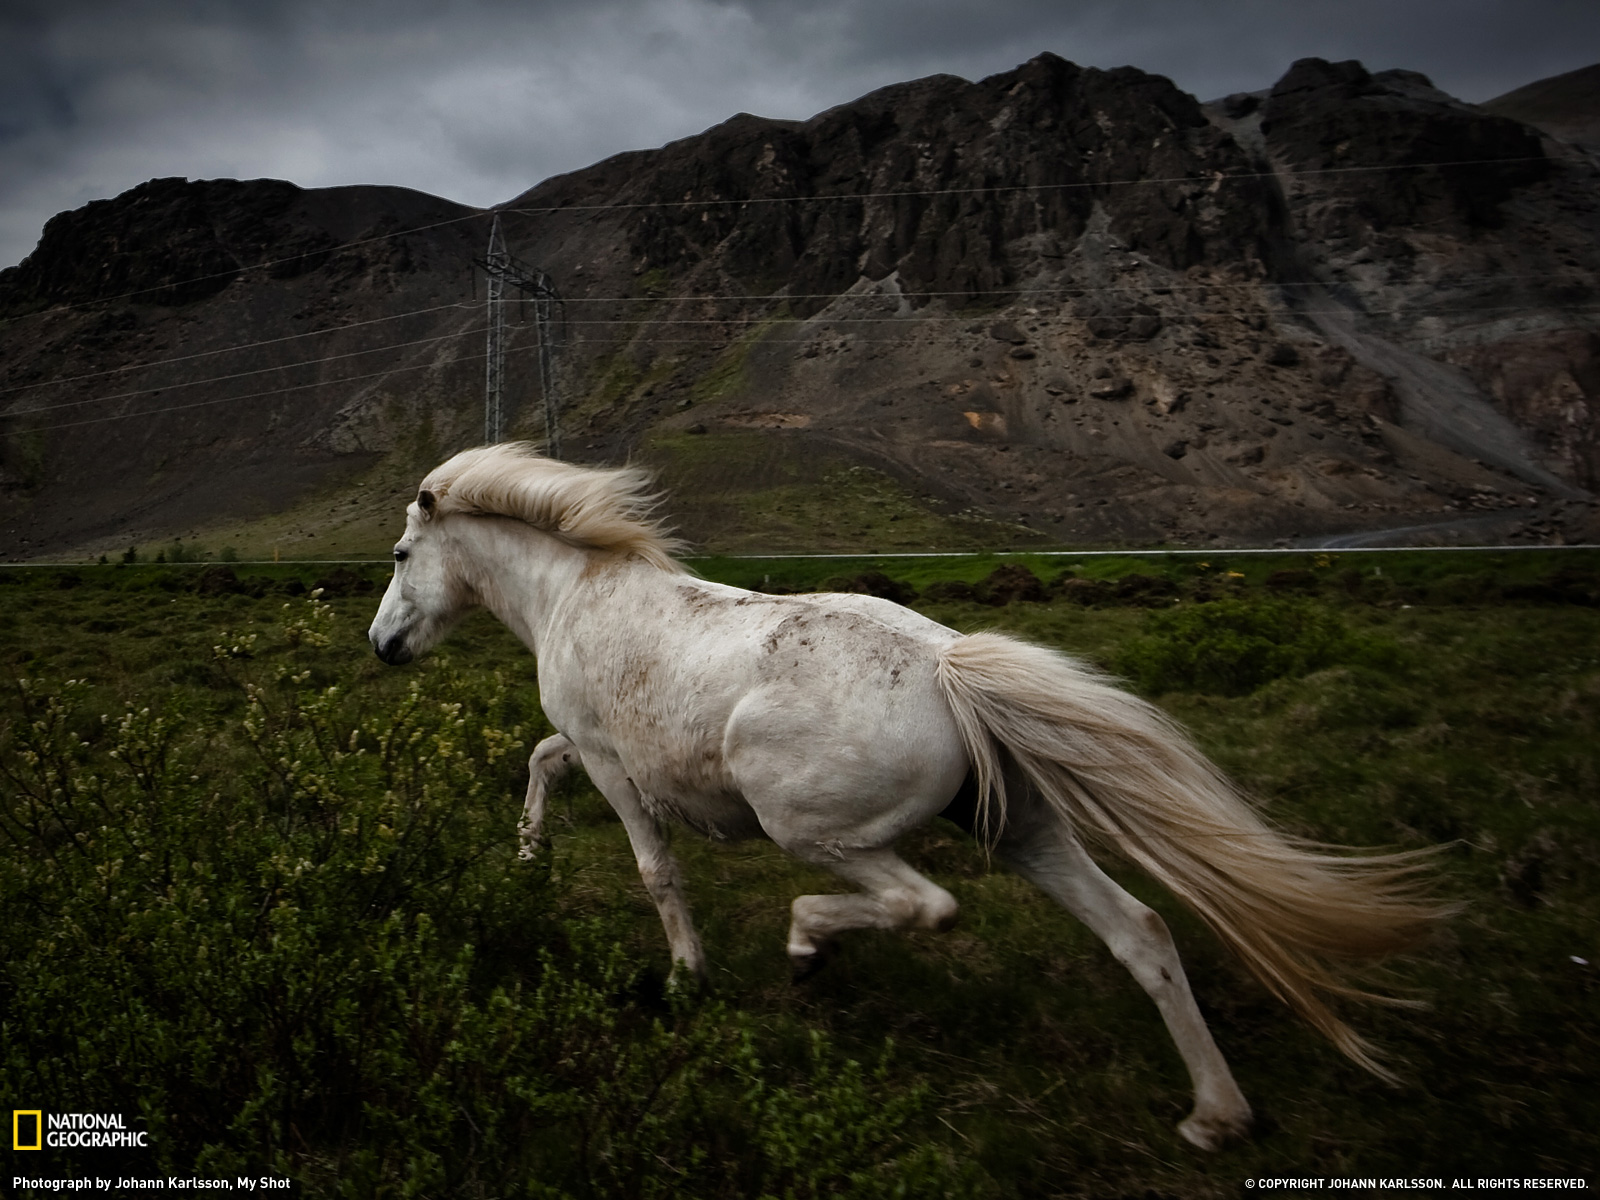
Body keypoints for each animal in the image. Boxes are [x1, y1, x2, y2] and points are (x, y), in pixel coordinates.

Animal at [368, 444, 1446, 1158]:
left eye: (399, 556)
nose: (381, 647)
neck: (576, 592)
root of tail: (949, 666)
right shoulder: (597, 755)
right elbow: (540, 766)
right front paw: (526, 862)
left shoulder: (612, 762)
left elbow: (652, 867)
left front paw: (684, 978)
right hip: (1023, 831)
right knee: (1139, 931)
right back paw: (1216, 1115)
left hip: (812, 827)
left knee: (922, 904)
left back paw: (808, 948)